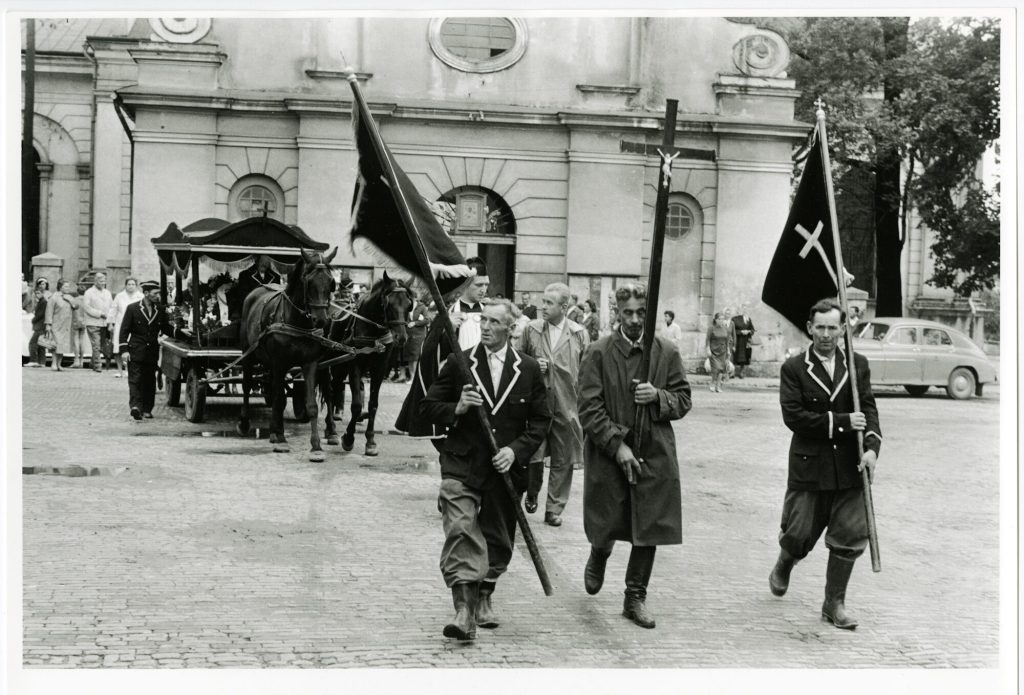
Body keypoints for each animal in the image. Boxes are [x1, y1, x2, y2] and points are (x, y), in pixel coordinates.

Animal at [237, 248, 337, 462]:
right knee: (248, 385)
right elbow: (280, 399)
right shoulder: (280, 362)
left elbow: (310, 404)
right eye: (308, 281)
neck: (297, 321)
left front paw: (316, 446)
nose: (321, 320)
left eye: (331, 282)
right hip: (248, 355)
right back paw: (245, 422)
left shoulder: (310, 363)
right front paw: (282, 439)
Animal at [323, 274, 411, 458]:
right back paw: (332, 431)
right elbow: (356, 405)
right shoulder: (354, 365)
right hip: (334, 365)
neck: (373, 330)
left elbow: (373, 405)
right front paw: (348, 438)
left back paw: (331, 428)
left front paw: (370, 441)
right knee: (330, 391)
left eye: (408, 304)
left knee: (336, 389)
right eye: (388, 303)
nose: (401, 337)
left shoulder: (380, 368)